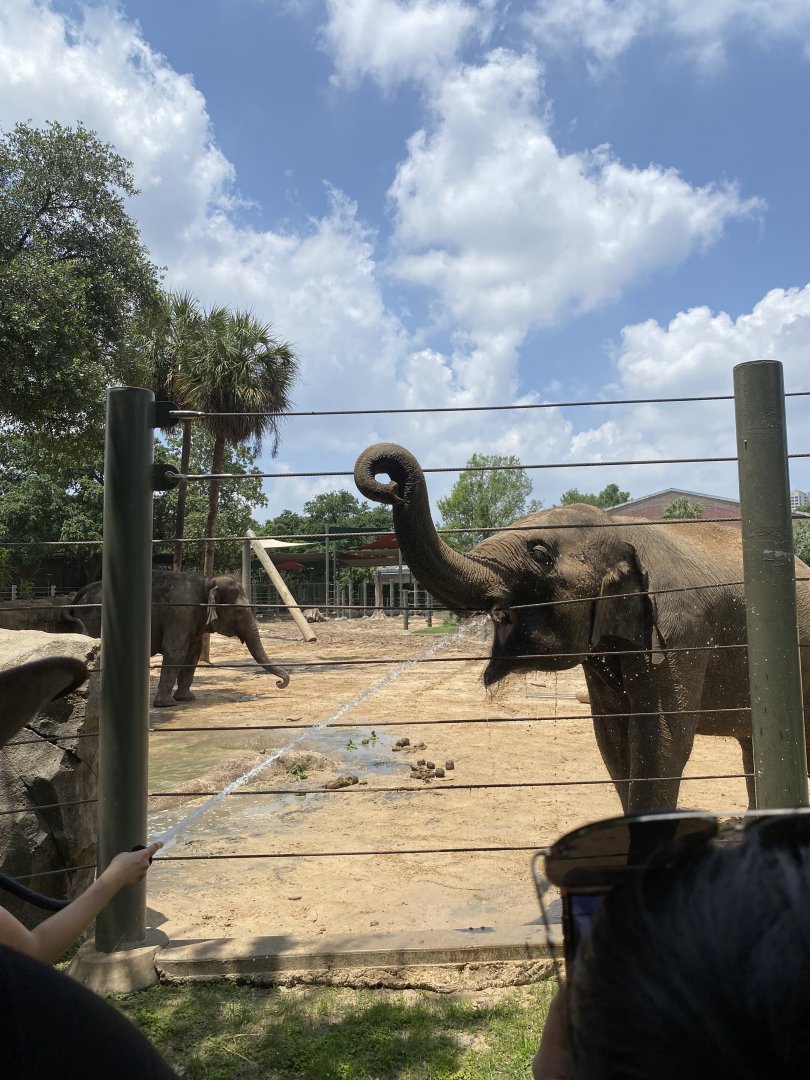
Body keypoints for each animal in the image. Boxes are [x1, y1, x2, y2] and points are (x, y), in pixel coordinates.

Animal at [68, 571, 290, 708]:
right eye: (238, 611)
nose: (279, 683)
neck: (206, 581)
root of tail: (78, 595)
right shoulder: (179, 612)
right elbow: (175, 651)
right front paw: (167, 704)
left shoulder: (193, 619)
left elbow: (192, 654)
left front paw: (187, 699)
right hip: (93, 620)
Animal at [354, 442, 810, 814]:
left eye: (540, 555)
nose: (389, 484)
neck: (623, 531)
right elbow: (613, 742)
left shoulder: (678, 636)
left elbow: (662, 745)